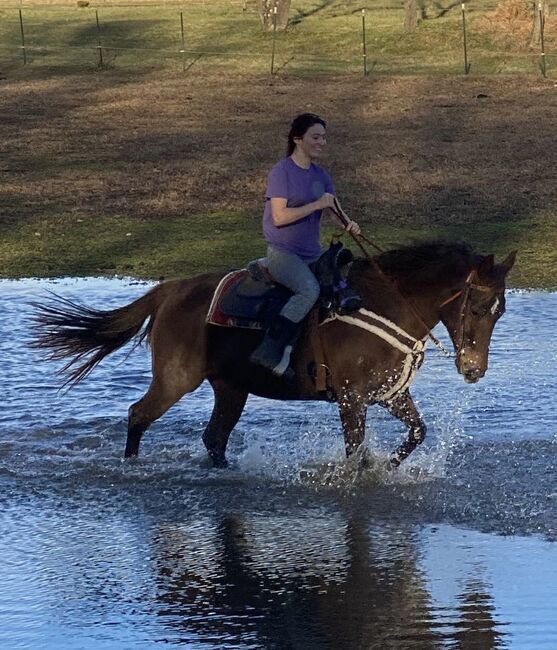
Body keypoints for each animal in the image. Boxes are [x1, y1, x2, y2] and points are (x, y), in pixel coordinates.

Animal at [30, 242, 516, 466]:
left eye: (501, 311)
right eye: (476, 307)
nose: (473, 369)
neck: (385, 305)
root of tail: (170, 290)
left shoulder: (390, 395)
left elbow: (417, 433)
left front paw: (387, 467)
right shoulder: (351, 400)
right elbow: (355, 453)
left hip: (231, 389)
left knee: (214, 437)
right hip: (175, 379)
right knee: (138, 415)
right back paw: (131, 467)